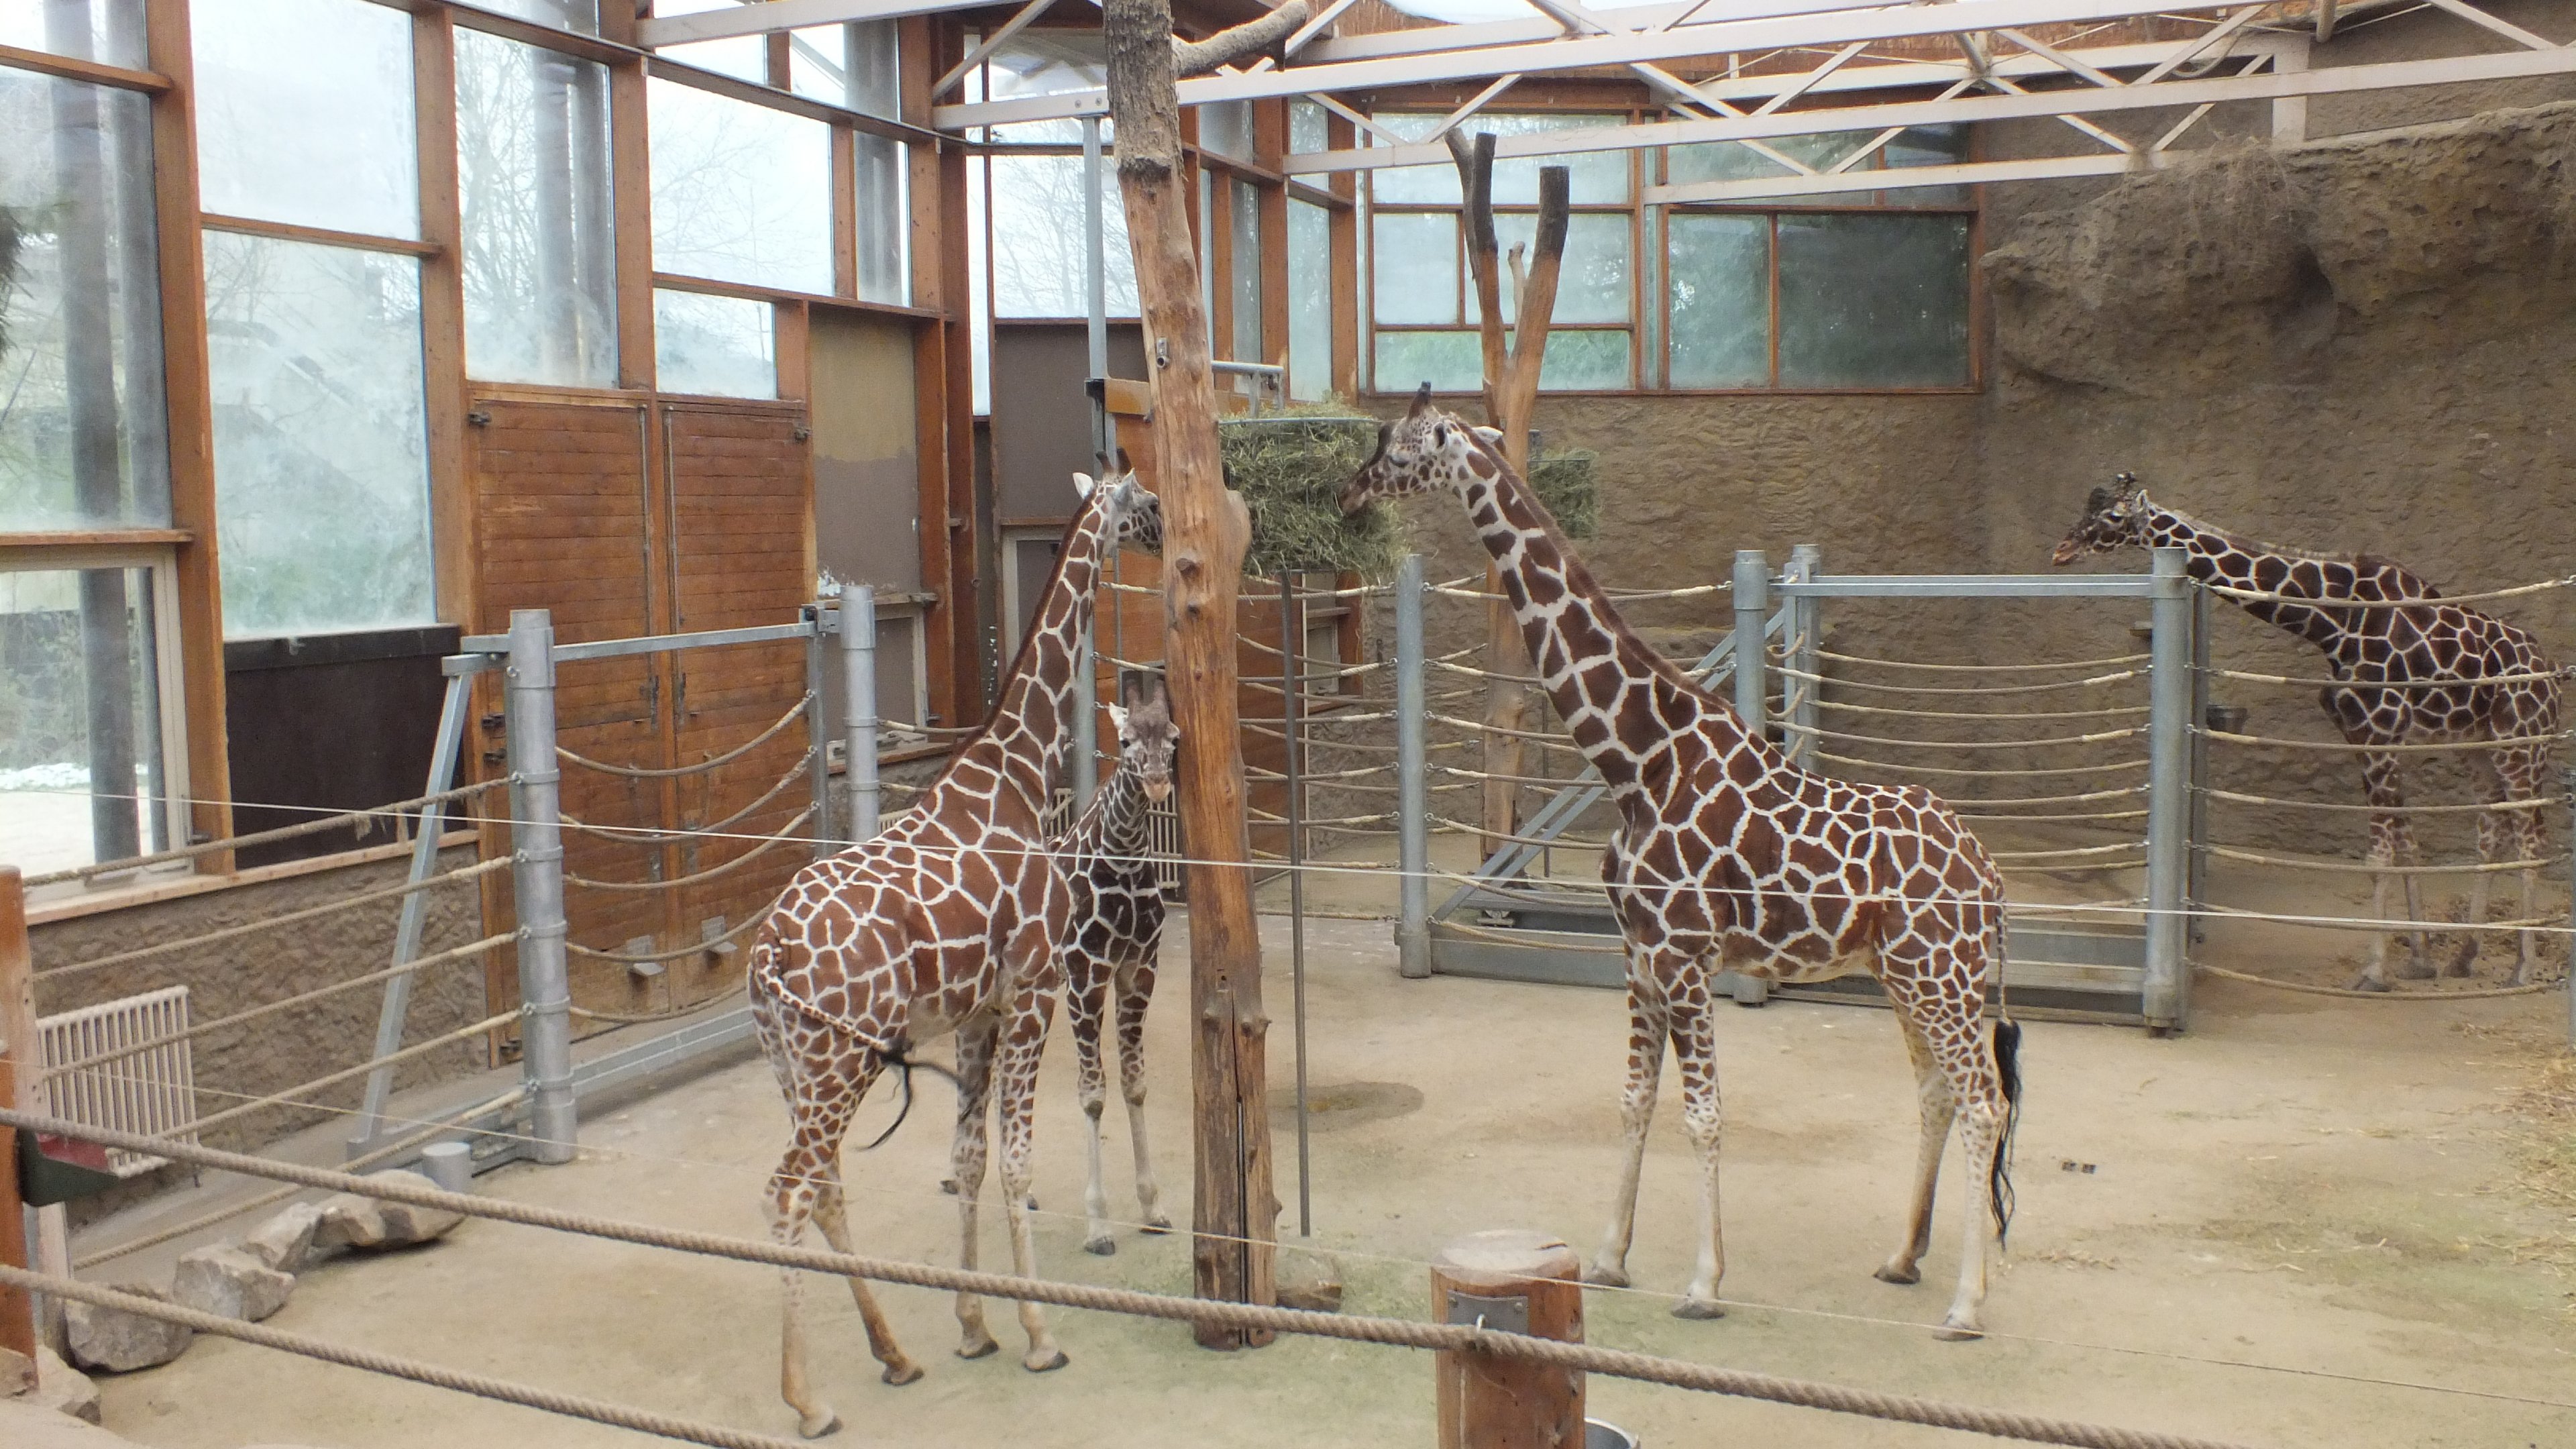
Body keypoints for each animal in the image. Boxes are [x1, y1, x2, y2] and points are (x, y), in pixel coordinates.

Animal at [747, 469, 1157, 1438]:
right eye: (1143, 504)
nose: (1164, 531)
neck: (1014, 771)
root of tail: (768, 955)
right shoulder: (1036, 988)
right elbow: (1015, 1160)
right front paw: (1041, 1332)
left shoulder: (978, 1013)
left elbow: (966, 1160)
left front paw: (974, 1327)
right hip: (842, 1058)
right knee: (789, 1190)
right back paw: (809, 1401)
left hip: (793, 1062)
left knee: (824, 1184)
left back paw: (895, 1355)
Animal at [1341, 387, 2023, 1339]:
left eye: (1402, 450)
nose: (1349, 494)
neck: (1637, 760)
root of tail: (1991, 880)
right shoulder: (1639, 955)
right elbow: (1634, 1100)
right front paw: (1608, 1258)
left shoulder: (1688, 955)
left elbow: (1702, 1115)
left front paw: (1704, 1282)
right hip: (1906, 975)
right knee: (1937, 1092)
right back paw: (1902, 1258)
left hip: (1940, 975)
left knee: (1985, 1100)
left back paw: (1966, 1303)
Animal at [2054, 473, 2563, 990]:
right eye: (2089, 507)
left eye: (2114, 516)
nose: (2061, 550)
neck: (2332, 623)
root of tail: (2554, 676)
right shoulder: (2363, 735)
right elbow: (2406, 845)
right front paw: (2421, 960)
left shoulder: (2379, 731)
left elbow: (2379, 856)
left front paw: (2374, 971)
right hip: (2477, 746)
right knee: (2492, 832)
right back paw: (2466, 956)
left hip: (2522, 743)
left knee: (2532, 840)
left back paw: (2523, 968)